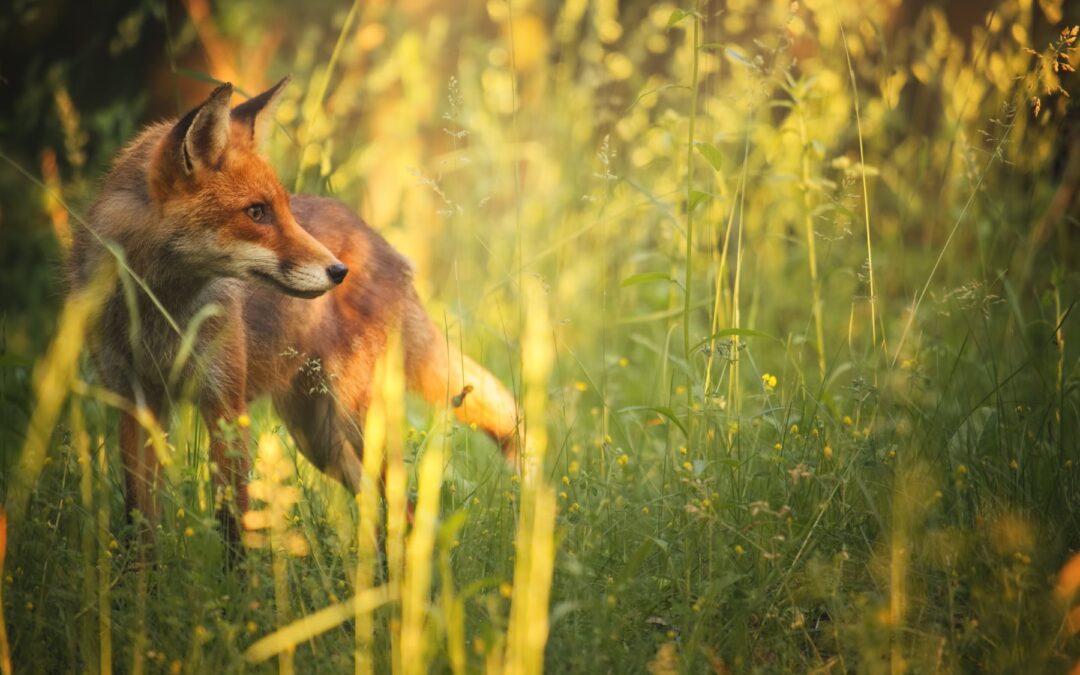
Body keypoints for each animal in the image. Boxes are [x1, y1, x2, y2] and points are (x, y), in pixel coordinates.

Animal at [69, 77, 520, 542]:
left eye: (283, 208)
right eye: (256, 212)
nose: (339, 271)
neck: (158, 312)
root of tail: (380, 242)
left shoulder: (226, 406)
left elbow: (235, 526)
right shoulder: (134, 402)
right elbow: (139, 525)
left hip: (354, 424)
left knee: (403, 509)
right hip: (320, 440)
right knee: (379, 510)